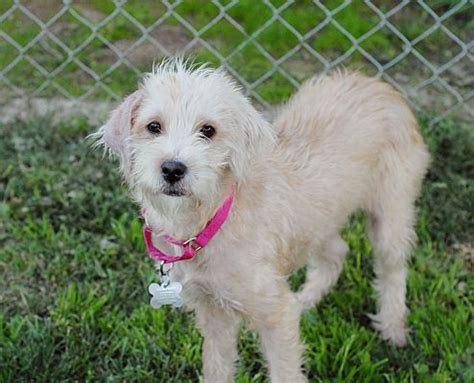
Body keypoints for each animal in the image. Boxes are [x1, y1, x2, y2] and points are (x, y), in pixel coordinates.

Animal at [95, 58, 430, 382]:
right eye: (153, 126)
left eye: (208, 130)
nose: (173, 169)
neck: (210, 220)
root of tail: (379, 85)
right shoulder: (214, 313)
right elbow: (217, 368)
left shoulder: (275, 315)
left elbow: (285, 372)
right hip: (320, 220)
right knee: (336, 251)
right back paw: (306, 299)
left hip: (391, 215)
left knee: (393, 269)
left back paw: (393, 327)